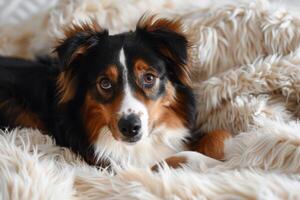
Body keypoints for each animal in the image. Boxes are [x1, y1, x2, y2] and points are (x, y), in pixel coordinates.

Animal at [0, 16, 232, 168]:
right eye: (105, 83)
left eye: (149, 78)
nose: (130, 127)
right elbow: (179, 157)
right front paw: (220, 165)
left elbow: (220, 134)